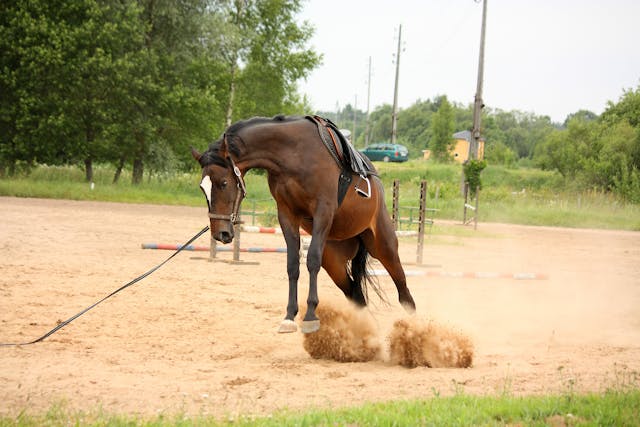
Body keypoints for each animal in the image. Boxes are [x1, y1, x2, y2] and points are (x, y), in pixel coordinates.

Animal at [192, 116, 418, 334]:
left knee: (404, 293)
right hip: (335, 262)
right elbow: (293, 264)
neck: (292, 155)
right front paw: (289, 316)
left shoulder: (323, 212)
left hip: (383, 247)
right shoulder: (286, 214)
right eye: (202, 188)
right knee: (357, 295)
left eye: (223, 183)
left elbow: (312, 260)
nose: (221, 233)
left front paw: (310, 315)